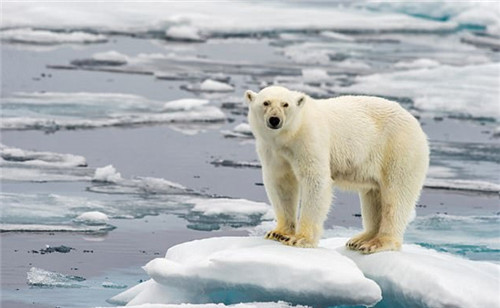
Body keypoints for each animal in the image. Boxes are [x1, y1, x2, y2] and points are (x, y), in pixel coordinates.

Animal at [244, 86, 428, 253]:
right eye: (266, 102)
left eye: (285, 104)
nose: (274, 120)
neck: (290, 135)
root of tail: (416, 124)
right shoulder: (272, 150)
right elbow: (281, 184)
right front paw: (278, 233)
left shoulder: (309, 140)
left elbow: (315, 181)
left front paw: (301, 239)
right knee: (374, 195)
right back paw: (359, 240)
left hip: (398, 149)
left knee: (396, 196)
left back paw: (377, 243)